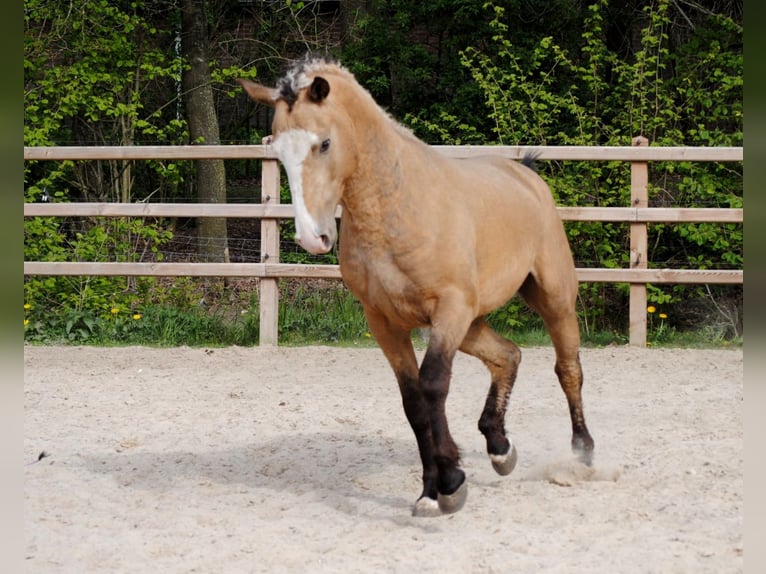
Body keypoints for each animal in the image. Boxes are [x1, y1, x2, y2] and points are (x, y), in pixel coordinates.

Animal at [237, 57, 594, 517]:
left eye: (325, 144)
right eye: (278, 151)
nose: (312, 237)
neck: (396, 207)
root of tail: (525, 174)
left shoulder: (449, 309)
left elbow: (433, 387)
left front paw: (452, 482)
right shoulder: (386, 322)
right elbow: (414, 403)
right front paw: (432, 491)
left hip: (552, 299)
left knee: (568, 369)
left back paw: (582, 454)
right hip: (472, 323)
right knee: (508, 356)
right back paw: (499, 447)